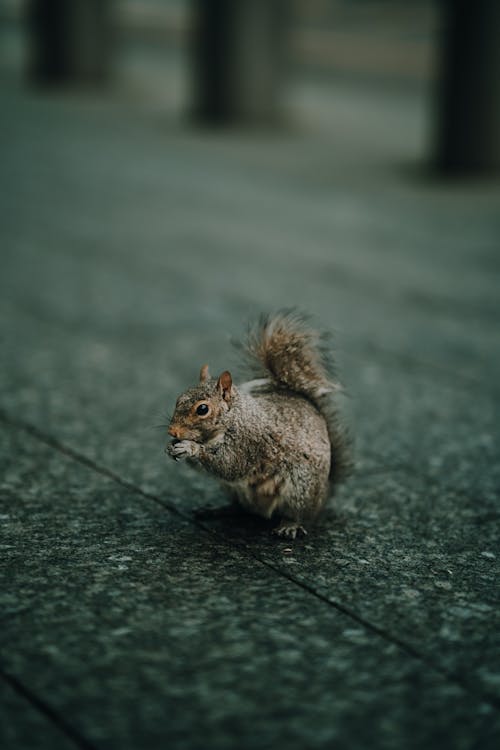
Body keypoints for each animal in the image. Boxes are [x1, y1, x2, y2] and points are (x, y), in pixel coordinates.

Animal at [166, 312, 350, 540]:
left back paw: (290, 525)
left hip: (301, 487)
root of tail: (326, 492)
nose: (172, 430)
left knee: (299, 512)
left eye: (202, 409)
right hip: (235, 490)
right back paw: (218, 510)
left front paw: (190, 447)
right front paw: (172, 446)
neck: (235, 416)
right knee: (241, 509)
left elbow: (229, 465)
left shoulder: (249, 441)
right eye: (179, 399)